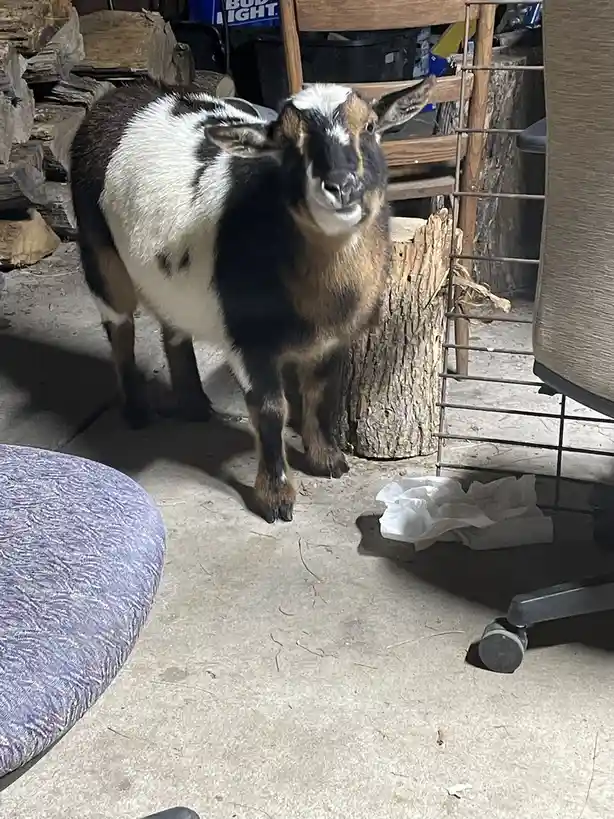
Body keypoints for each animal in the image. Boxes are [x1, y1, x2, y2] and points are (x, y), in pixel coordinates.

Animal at [69, 76, 435, 523]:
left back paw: (194, 405)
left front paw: (326, 459)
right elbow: (270, 408)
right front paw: (275, 497)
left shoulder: (334, 339)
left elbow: (320, 391)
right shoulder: (246, 339)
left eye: (368, 127)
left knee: (174, 327)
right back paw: (138, 411)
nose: (340, 186)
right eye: (288, 142)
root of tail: (119, 95)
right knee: (119, 326)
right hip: (98, 251)